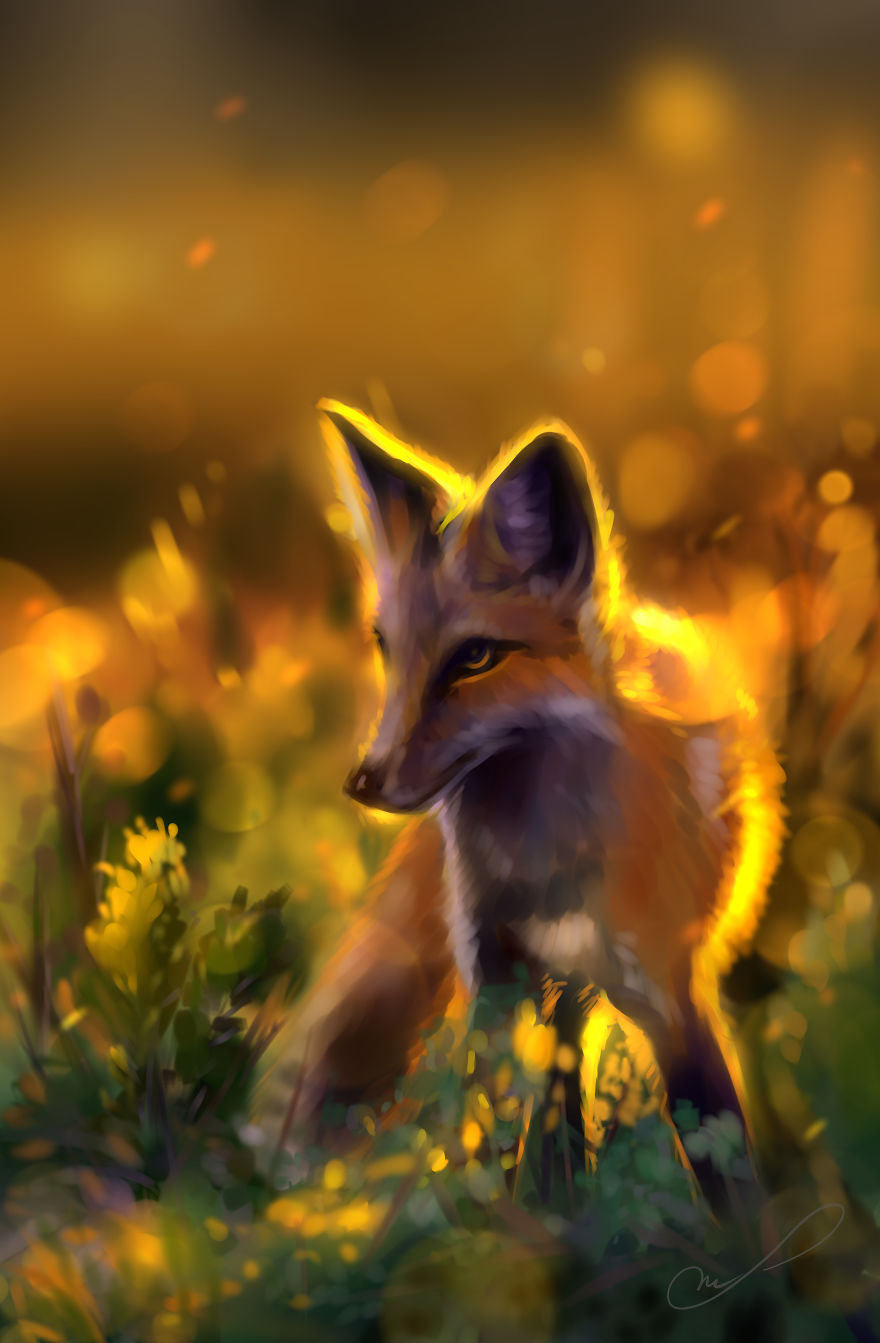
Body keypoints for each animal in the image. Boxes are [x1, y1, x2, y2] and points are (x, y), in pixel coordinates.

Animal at [258, 401, 879, 1293]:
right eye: (385, 644)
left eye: (475, 656)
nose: (363, 781)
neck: (542, 856)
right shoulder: (494, 972)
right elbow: (486, 1118)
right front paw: (494, 1242)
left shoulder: (668, 992)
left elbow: (720, 1153)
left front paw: (756, 1276)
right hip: (549, 990)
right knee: (550, 1103)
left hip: (590, 987)